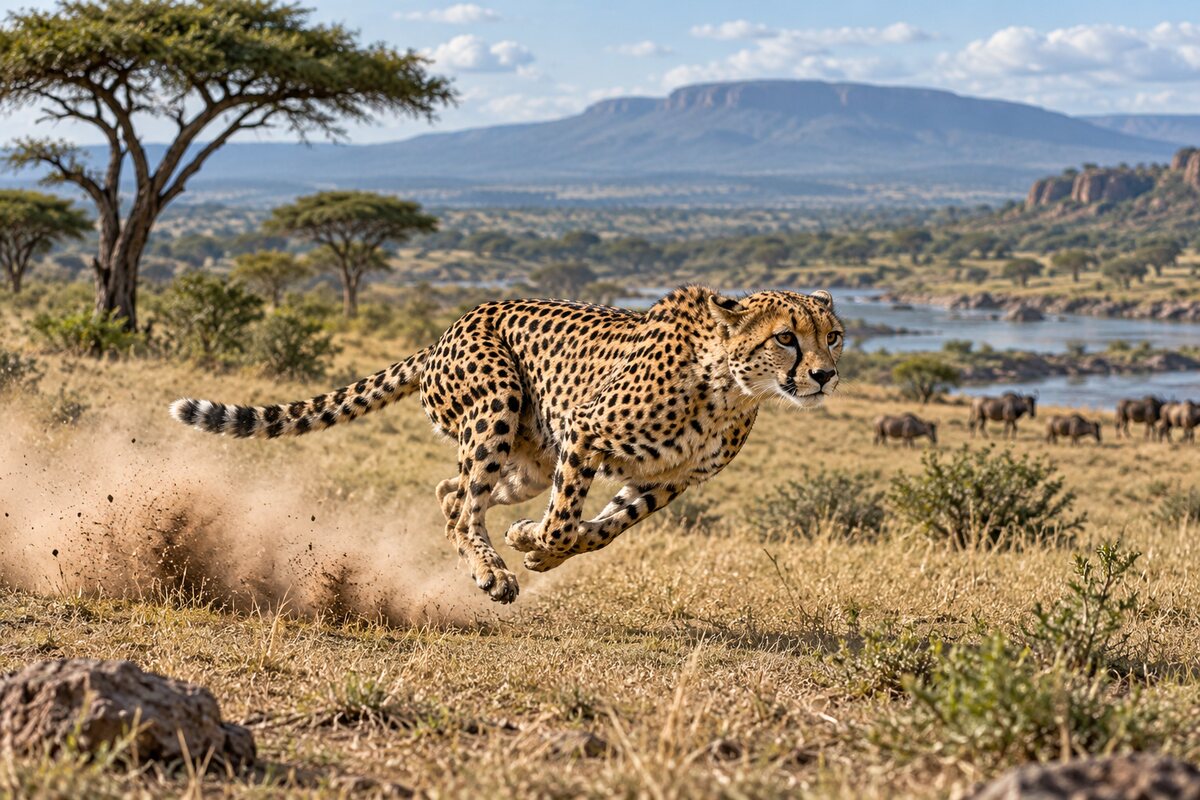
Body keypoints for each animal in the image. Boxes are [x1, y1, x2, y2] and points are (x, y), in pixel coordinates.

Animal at [169, 285, 844, 604]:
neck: (731, 385)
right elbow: (568, 520)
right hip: (496, 406)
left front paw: (533, 543)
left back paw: (496, 549)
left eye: (833, 336)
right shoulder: (586, 432)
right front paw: (537, 546)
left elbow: (605, 529)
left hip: (528, 460)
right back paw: (490, 574)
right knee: (464, 502)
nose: (824, 375)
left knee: (451, 491)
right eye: (786, 337)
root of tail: (449, 328)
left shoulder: (668, 478)